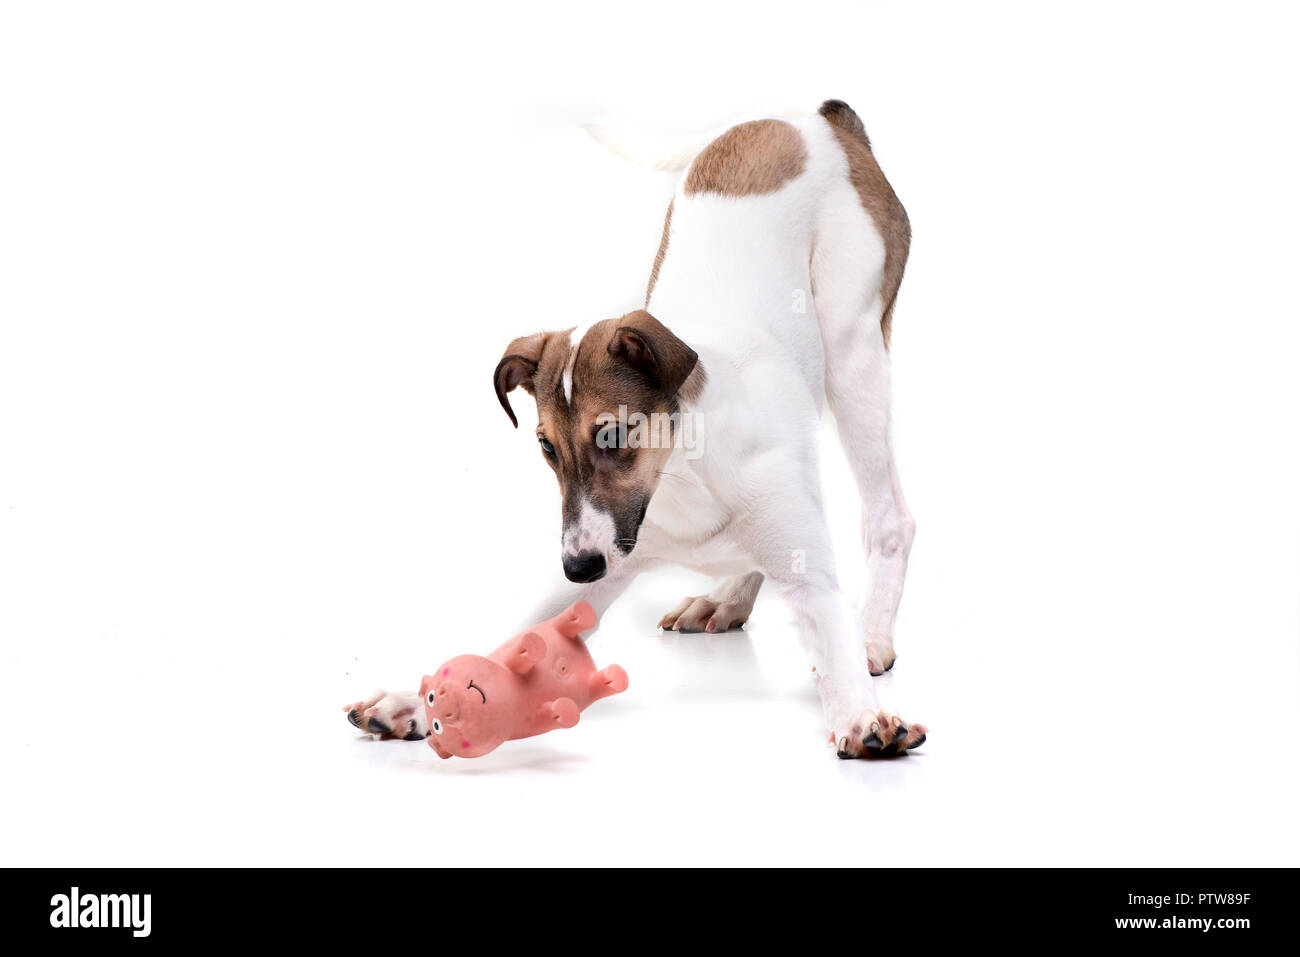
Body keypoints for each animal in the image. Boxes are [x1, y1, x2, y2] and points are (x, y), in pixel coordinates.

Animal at [348, 100, 925, 759]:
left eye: (612, 437)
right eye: (546, 447)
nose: (578, 566)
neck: (684, 473)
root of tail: (815, 119)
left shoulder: (805, 575)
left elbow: (831, 636)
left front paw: (861, 712)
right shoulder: (599, 566)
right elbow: (514, 640)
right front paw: (417, 701)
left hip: (854, 352)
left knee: (888, 515)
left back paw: (871, 634)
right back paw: (726, 597)